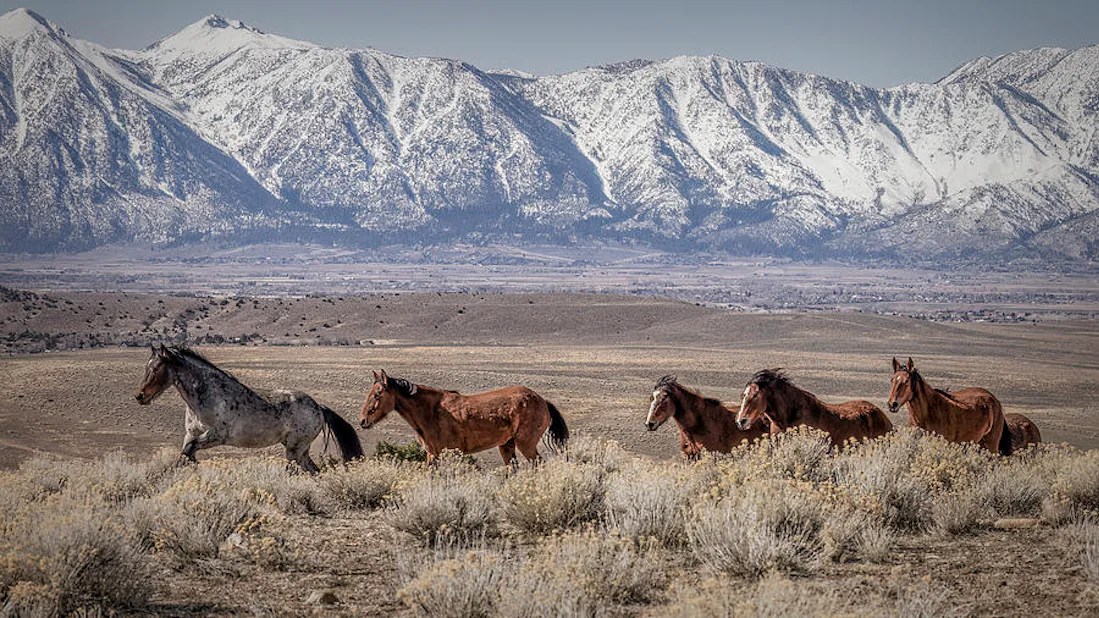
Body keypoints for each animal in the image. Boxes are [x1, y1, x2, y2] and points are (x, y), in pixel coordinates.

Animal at [134, 344, 362, 472]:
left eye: (156, 368)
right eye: (146, 367)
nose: (140, 396)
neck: (207, 395)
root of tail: (319, 408)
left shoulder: (216, 436)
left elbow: (189, 452)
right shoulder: (191, 433)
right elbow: (184, 454)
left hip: (294, 449)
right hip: (299, 449)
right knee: (313, 471)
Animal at [358, 370, 568, 464]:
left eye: (377, 394)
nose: (363, 421)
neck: (430, 411)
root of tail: (542, 401)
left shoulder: (447, 453)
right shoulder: (431, 453)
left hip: (526, 444)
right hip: (507, 445)